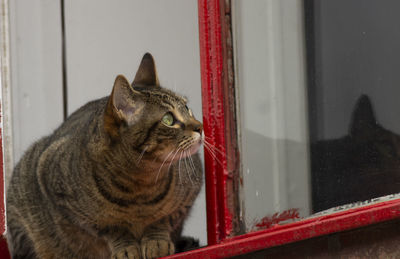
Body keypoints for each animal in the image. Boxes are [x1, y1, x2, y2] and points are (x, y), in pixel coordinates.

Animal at [7, 53, 203, 259]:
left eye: (187, 108)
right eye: (168, 119)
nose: (200, 126)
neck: (140, 186)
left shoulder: (189, 194)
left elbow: (163, 219)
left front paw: (156, 240)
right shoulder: (61, 193)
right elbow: (112, 228)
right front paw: (126, 247)